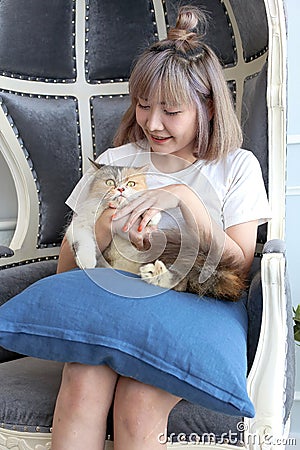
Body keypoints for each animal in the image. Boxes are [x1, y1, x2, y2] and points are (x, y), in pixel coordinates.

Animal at [67, 160, 247, 300]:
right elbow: (84, 243)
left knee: (179, 283)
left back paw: (154, 273)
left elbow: (147, 209)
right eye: (110, 182)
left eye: (131, 184)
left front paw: (149, 217)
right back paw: (152, 273)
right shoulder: (79, 225)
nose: (121, 189)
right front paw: (86, 262)